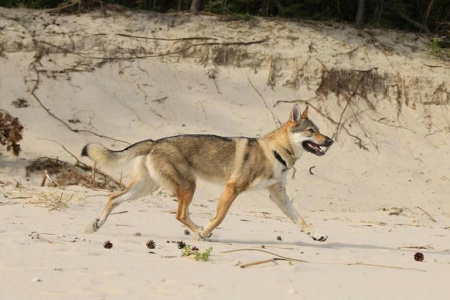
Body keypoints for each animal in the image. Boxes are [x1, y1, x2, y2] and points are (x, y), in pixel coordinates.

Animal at [82, 105, 332, 241]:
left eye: (319, 130)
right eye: (311, 131)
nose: (330, 140)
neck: (274, 152)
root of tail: (154, 142)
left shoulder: (277, 194)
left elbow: (299, 219)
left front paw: (316, 234)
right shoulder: (232, 188)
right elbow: (219, 217)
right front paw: (205, 232)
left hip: (148, 188)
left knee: (113, 197)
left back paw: (95, 224)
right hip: (187, 186)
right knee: (180, 215)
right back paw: (201, 233)